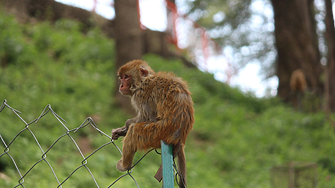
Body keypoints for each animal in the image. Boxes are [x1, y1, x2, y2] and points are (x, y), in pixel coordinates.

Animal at [112, 59, 194, 187]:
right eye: (121, 77)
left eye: (126, 77)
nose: (121, 85)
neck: (143, 81)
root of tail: (181, 139)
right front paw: (120, 130)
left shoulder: (141, 94)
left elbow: (149, 117)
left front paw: (127, 124)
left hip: (159, 133)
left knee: (135, 131)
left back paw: (125, 165)